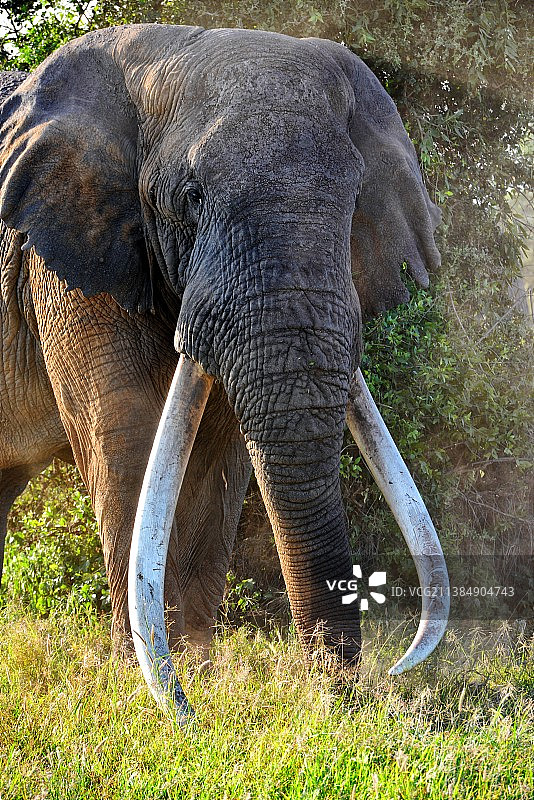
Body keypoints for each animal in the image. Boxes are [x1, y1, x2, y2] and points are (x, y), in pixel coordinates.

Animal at [0, 23, 450, 720]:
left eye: (354, 204)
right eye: (190, 198)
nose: (338, 696)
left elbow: (217, 460)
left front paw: (197, 683)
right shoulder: (70, 255)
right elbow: (128, 440)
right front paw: (155, 698)